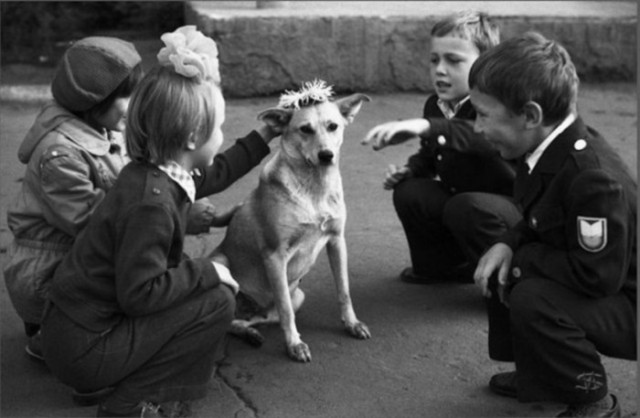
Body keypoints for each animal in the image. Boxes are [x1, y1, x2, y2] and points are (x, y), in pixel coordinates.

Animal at [210, 80, 370, 360]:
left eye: (333, 126)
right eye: (305, 129)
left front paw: (352, 324)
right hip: (221, 262)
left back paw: (250, 332)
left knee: (250, 319)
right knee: (232, 320)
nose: (326, 155)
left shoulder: (337, 241)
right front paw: (295, 344)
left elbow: (344, 290)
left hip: (298, 297)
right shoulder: (275, 255)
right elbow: (285, 310)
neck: (315, 188)